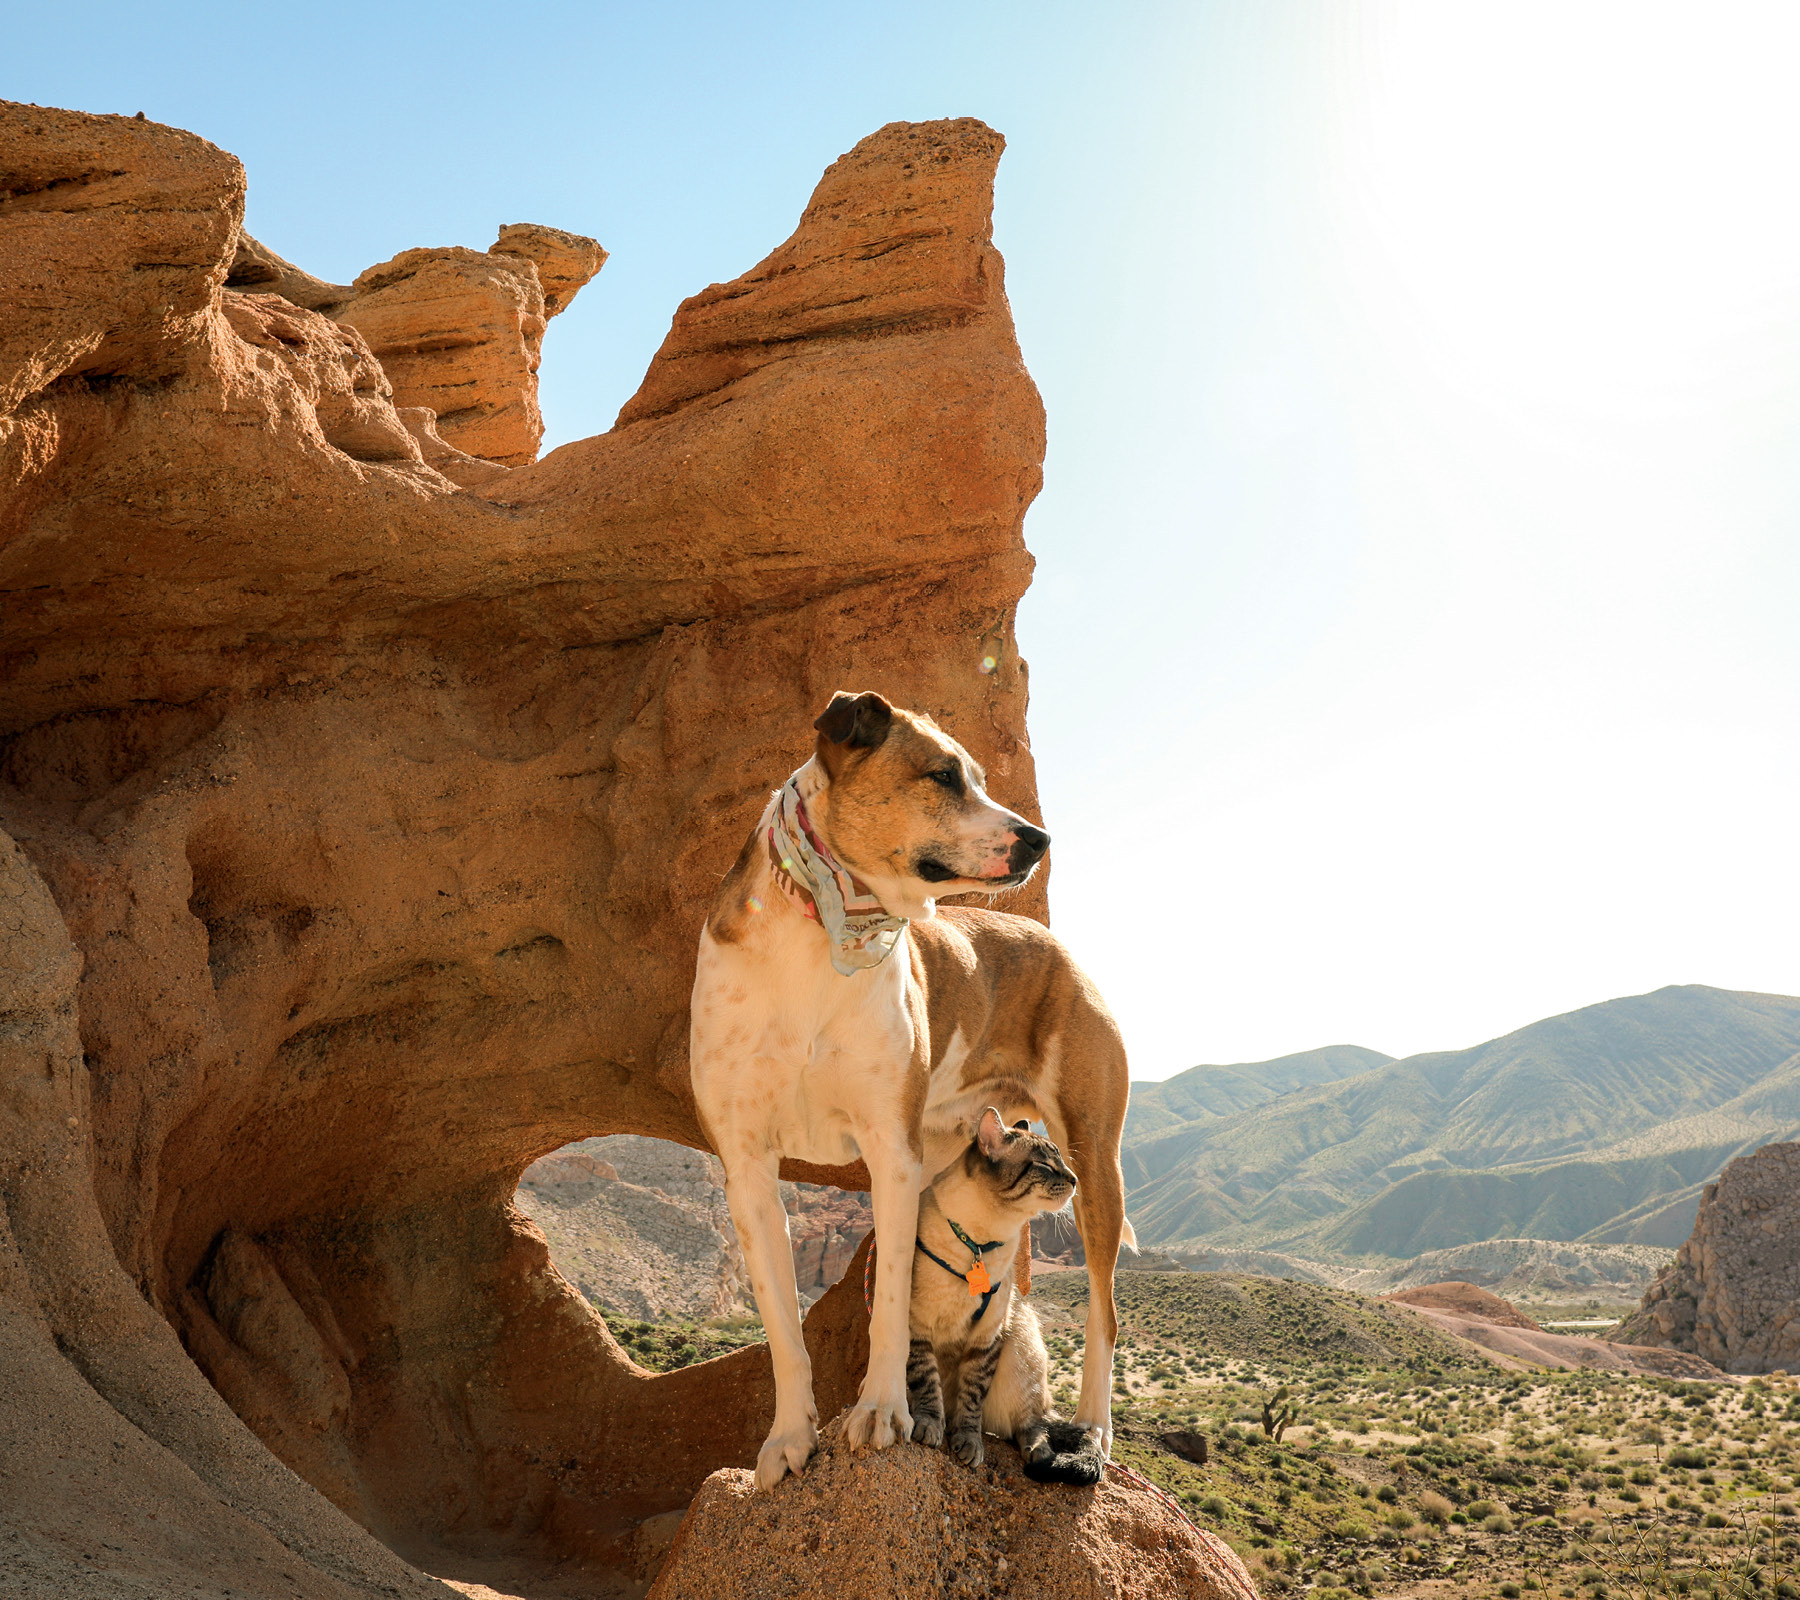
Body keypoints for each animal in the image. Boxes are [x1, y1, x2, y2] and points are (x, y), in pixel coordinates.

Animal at [907, 1101, 1101, 1483]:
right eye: (1044, 1164)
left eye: (1062, 1160)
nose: (1075, 1179)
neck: (981, 1243)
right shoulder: (915, 1324)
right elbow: (925, 1380)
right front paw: (929, 1425)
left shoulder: (989, 1334)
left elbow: (971, 1399)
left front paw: (968, 1443)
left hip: (1020, 1342)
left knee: (1032, 1423)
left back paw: (1038, 1453)